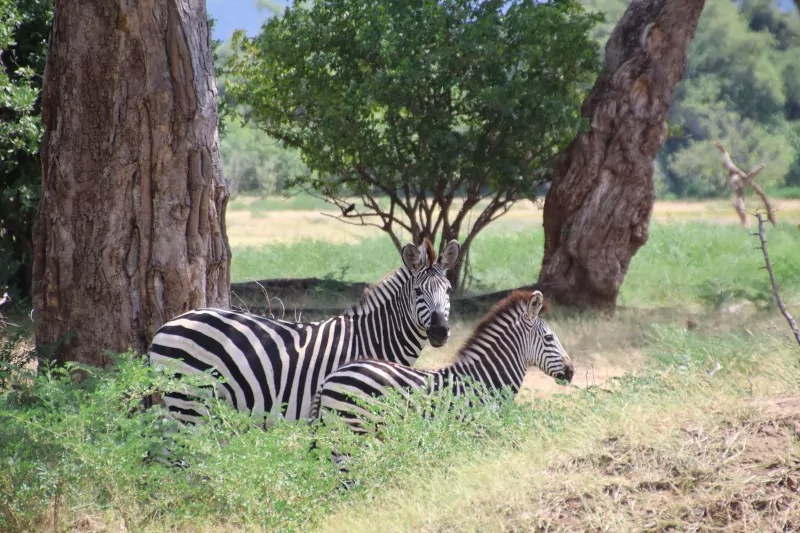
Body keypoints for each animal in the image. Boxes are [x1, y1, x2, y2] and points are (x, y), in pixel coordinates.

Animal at [147, 238, 461, 425]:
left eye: (448, 290)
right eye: (418, 292)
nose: (440, 333)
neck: (372, 338)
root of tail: (167, 325)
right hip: (190, 398)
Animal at [308, 289, 574, 434]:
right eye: (549, 338)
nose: (571, 372)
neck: (484, 381)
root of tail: (330, 377)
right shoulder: (474, 432)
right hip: (352, 429)